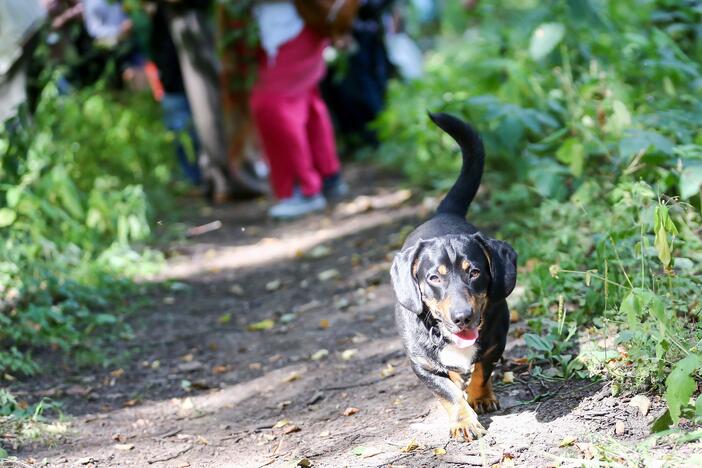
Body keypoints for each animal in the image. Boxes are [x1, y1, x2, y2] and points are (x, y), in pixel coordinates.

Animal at [390, 111, 516, 440]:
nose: (462, 317)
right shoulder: (422, 365)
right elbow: (446, 391)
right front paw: (463, 420)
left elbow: (482, 371)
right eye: (434, 278)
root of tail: (443, 213)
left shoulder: (495, 343)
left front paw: (480, 397)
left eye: (474, 272)